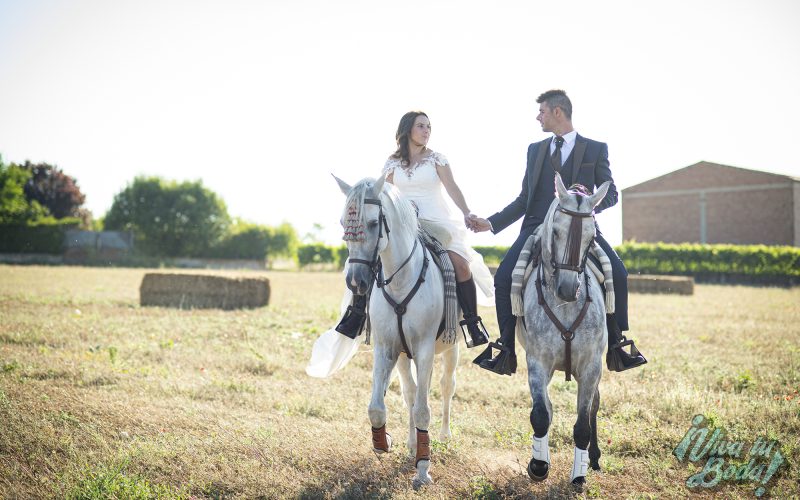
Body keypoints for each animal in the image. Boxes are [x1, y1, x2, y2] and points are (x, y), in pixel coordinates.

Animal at [332, 173, 456, 488]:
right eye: (343, 222)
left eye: (373, 223)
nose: (356, 282)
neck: (400, 281)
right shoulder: (387, 348)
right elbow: (378, 407)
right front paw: (382, 441)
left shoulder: (425, 350)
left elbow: (424, 410)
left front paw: (423, 470)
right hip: (403, 355)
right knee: (411, 394)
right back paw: (412, 444)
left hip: (452, 348)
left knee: (445, 387)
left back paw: (444, 436)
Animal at [524, 175, 612, 492]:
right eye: (556, 231)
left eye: (591, 236)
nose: (566, 288)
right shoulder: (537, 362)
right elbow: (540, 414)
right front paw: (539, 466)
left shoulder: (591, 367)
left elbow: (583, 423)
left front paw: (579, 475)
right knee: (547, 408)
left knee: (594, 406)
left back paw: (594, 459)